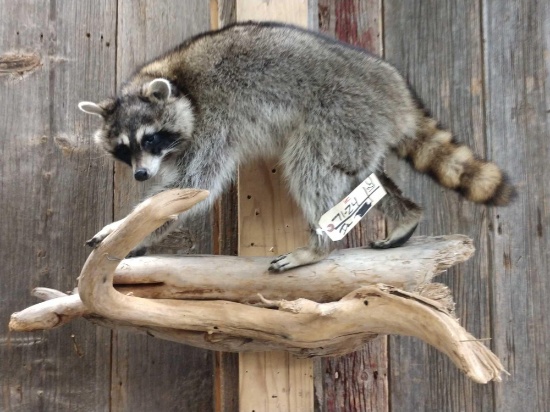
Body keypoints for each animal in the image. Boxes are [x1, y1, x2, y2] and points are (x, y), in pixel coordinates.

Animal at [78, 21, 516, 274]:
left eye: (150, 138)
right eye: (123, 150)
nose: (140, 174)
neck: (176, 79)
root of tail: (397, 95)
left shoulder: (215, 118)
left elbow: (193, 186)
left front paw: (126, 227)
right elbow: (176, 188)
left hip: (340, 112)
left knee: (312, 169)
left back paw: (319, 246)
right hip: (360, 129)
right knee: (361, 176)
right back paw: (405, 213)